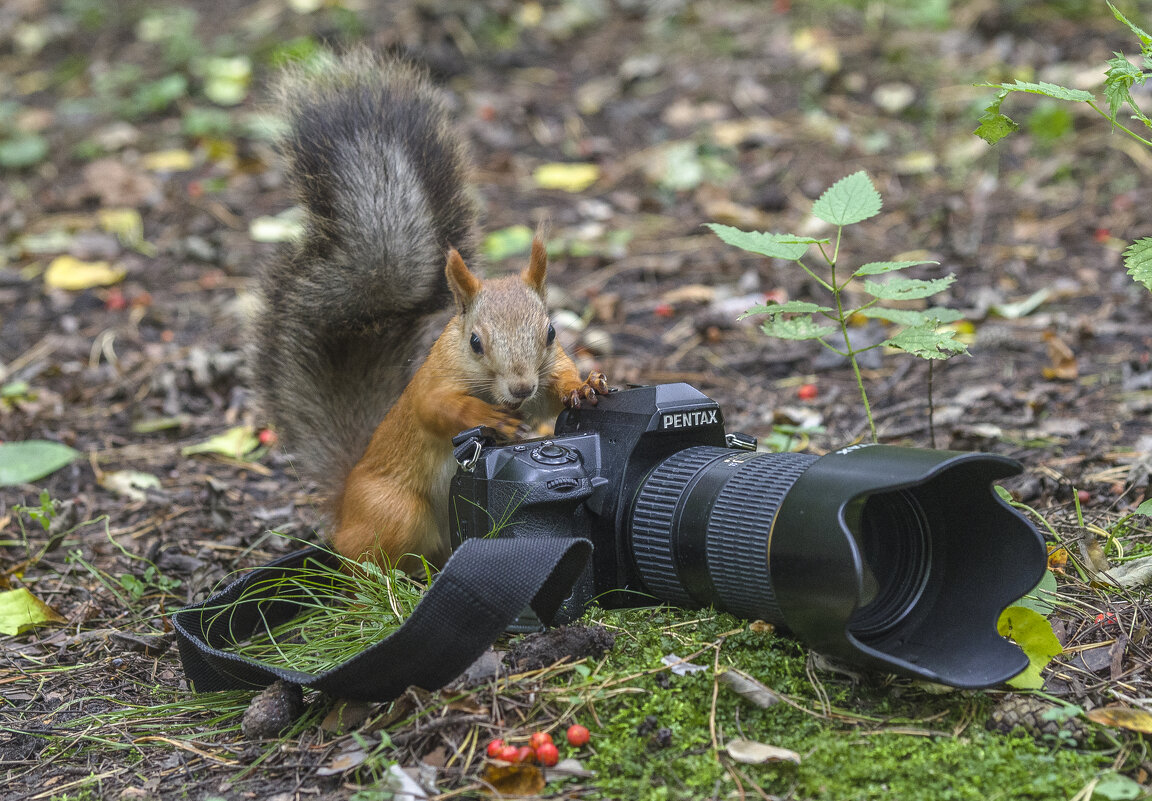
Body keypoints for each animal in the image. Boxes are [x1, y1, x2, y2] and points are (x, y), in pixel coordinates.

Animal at [247, 50, 608, 573]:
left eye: (551, 333)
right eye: (475, 341)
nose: (520, 387)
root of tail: (344, 507)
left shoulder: (544, 378)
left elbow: (556, 391)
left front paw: (584, 386)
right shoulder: (432, 382)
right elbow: (437, 408)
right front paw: (489, 418)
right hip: (395, 511)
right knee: (371, 565)